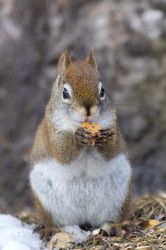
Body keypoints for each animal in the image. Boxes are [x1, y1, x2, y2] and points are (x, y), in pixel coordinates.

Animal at [29, 49, 132, 240]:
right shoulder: (52, 131)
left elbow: (111, 150)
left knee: (108, 219)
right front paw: (78, 136)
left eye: (102, 90)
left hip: (119, 196)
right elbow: (62, 153)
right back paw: (56, 230)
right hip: (47, 201)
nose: (88, 110)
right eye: (65, 93)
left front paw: (105, 139)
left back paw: (116, 226)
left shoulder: (112, 124)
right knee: (61, 223)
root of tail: (84, 217)